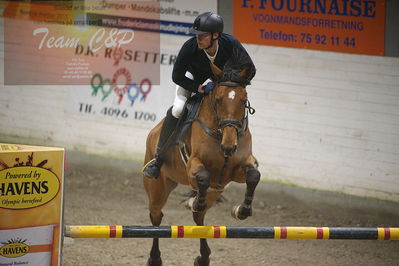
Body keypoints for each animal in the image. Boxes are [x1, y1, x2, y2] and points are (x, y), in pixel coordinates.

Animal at [142, 62, 260, 266]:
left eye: (244, 100)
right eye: (218, 100)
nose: (229, 146)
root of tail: (153, 132)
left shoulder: (237, 169)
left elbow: (253, 175)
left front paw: (241, 210)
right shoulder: (193, 166)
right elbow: (203, 176)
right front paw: (196, 201)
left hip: (214, 192)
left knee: (199, 218)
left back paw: (203, 256)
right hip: (157, 188)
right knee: (156, 217)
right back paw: (155, 258)